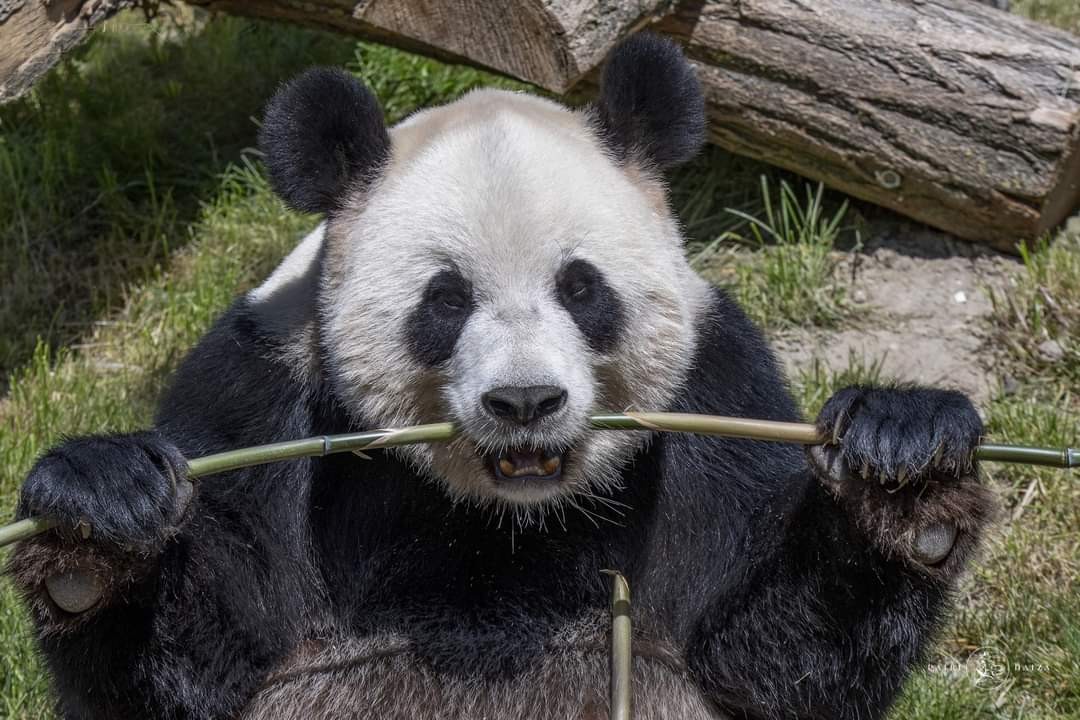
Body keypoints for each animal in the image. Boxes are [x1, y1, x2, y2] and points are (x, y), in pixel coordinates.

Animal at [8, 33, 993, 720]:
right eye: (445, 301)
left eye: (582, 288)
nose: (525, 403)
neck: (508, 520)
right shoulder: (258, 396)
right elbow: (196, 666)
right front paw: (101, 516)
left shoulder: (719, 393)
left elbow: (770, 660)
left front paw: (902, 464)